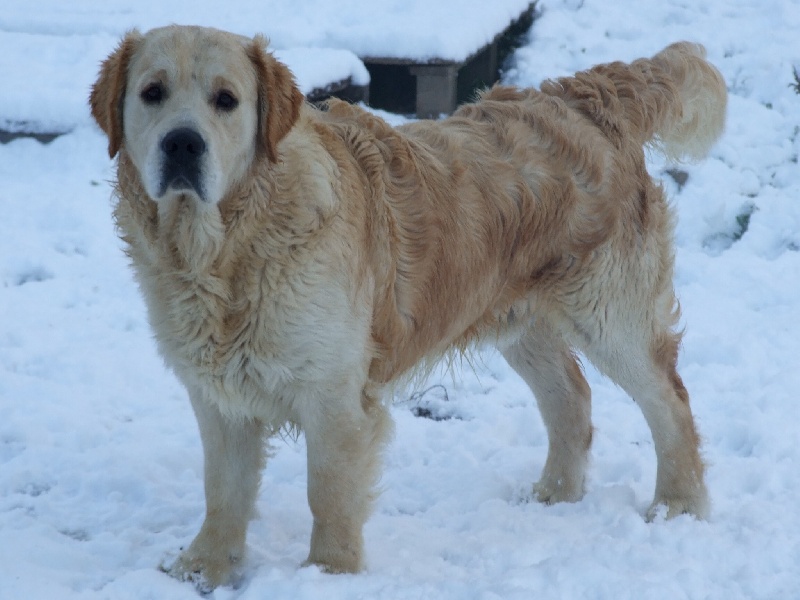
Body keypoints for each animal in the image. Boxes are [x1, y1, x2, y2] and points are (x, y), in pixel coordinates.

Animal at [90, 27, 728, 592]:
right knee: (572, 396)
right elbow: (222, 489)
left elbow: (328, 492)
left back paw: (678, 505)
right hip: (518, 319)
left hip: (609, 315)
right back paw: (555, 494)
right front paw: (202, 569)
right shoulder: (218, 395)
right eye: (152, 92)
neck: (224, 249)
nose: (182, 144)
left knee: (671, 402)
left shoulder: (334, 396)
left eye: (226, 100)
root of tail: (582, 96)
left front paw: (329, 575)